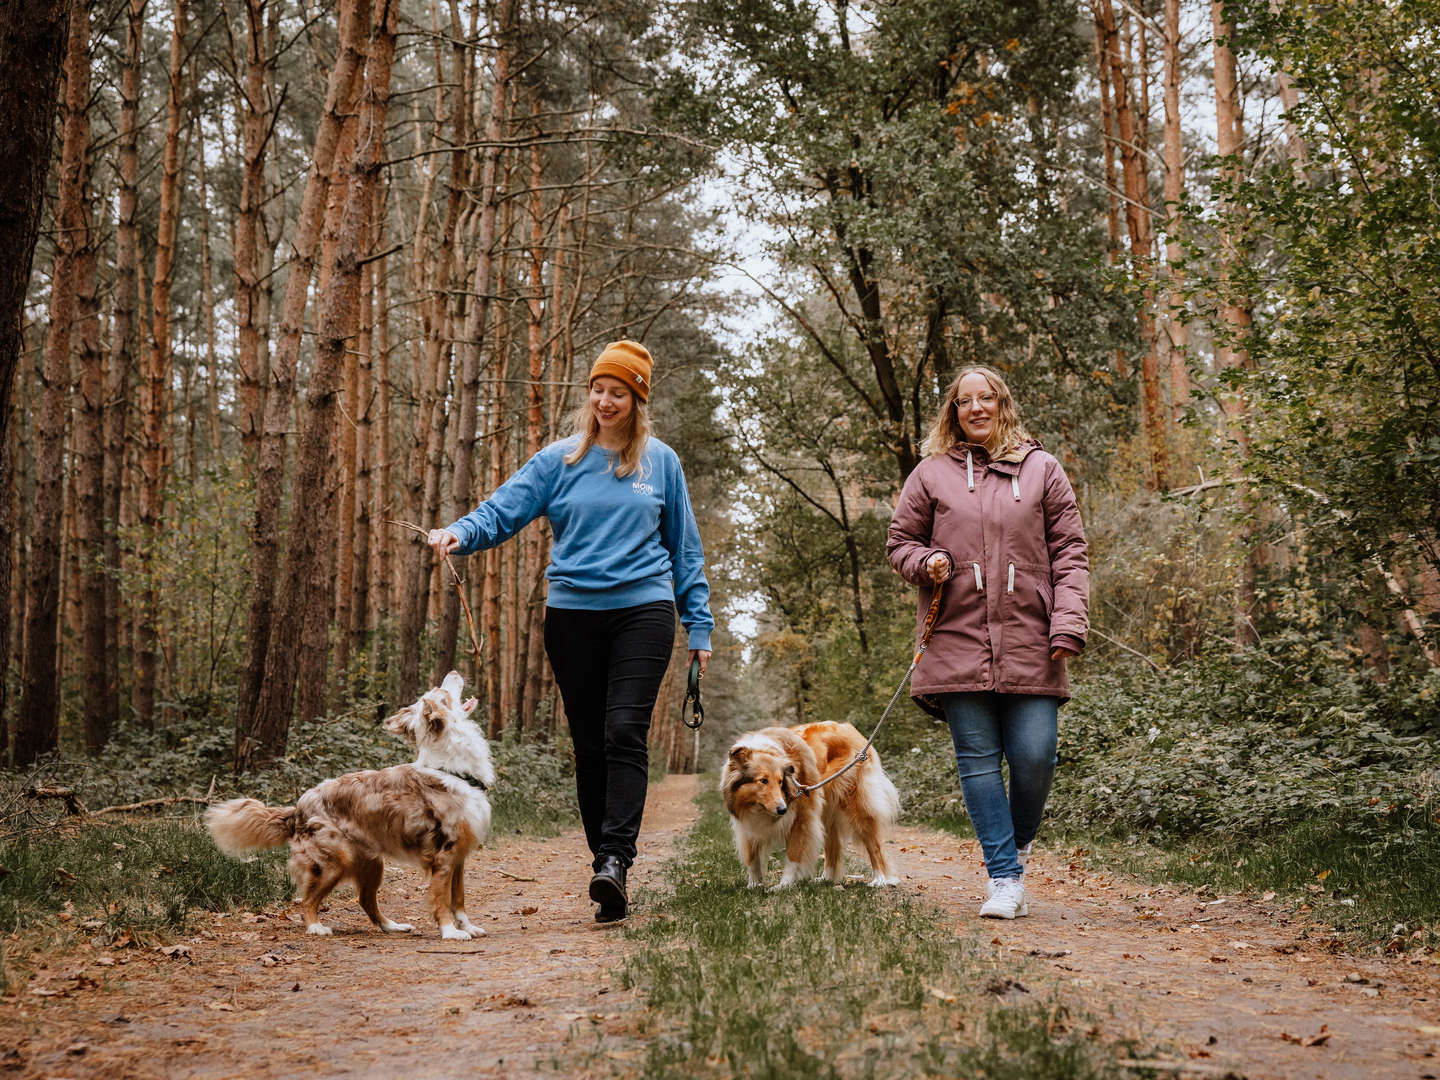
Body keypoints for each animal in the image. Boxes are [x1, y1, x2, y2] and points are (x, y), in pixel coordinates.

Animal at [203, 676, 495, 938]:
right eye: (442, 691)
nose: (454, 672)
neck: (452, 767)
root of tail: (297, 808)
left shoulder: (459, 855)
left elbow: (459, 898)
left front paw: (468, 927)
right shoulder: (444, 853)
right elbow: (441, 898)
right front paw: (450, 931)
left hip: (372, 863)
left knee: (366, 901)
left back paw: (392, 926)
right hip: (334, 861)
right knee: (308, 900)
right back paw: (315, 927)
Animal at [720, 722, 898, 892]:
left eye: (780, 781)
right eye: (763, 780)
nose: (782, 810)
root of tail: (847, 727)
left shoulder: (801, 819)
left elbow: (793, 855)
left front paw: (784, 886)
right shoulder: (747, 825)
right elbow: (752, 858)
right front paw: (754, 885)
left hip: (856, 807)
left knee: (874, 846)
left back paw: (880, 879)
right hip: (825, 812)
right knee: (833, 846)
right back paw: (826, 879)